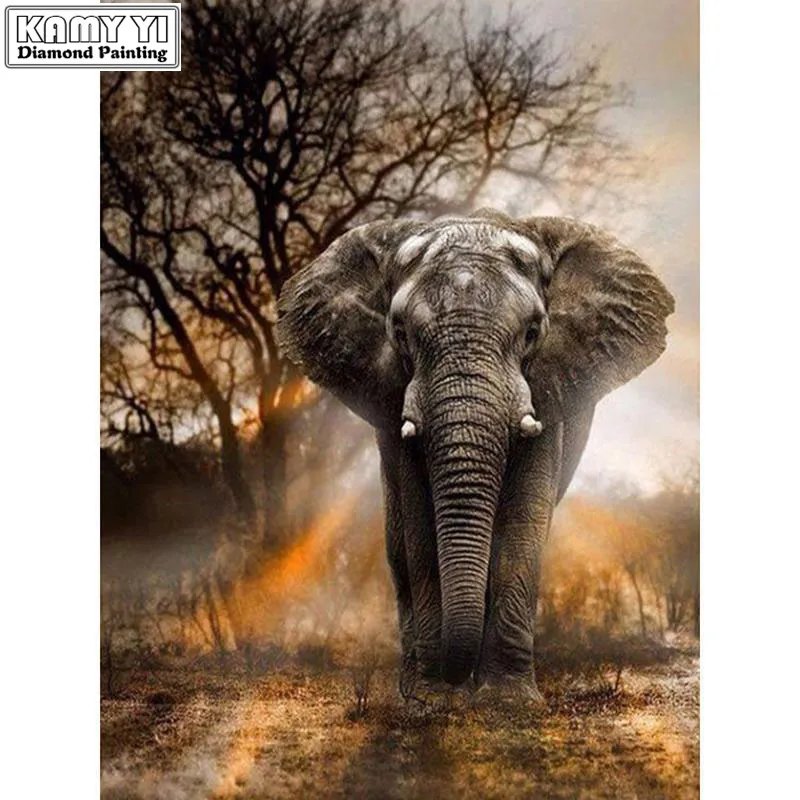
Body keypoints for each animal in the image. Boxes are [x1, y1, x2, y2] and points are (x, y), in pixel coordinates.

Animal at [277, 209, 674, 701]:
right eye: (400, 333)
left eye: (532, 332)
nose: (453, 679)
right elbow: (420, 525)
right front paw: (431, 700)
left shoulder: (548, 390)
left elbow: (523, 521)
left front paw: (509, 702)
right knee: (397, 545)